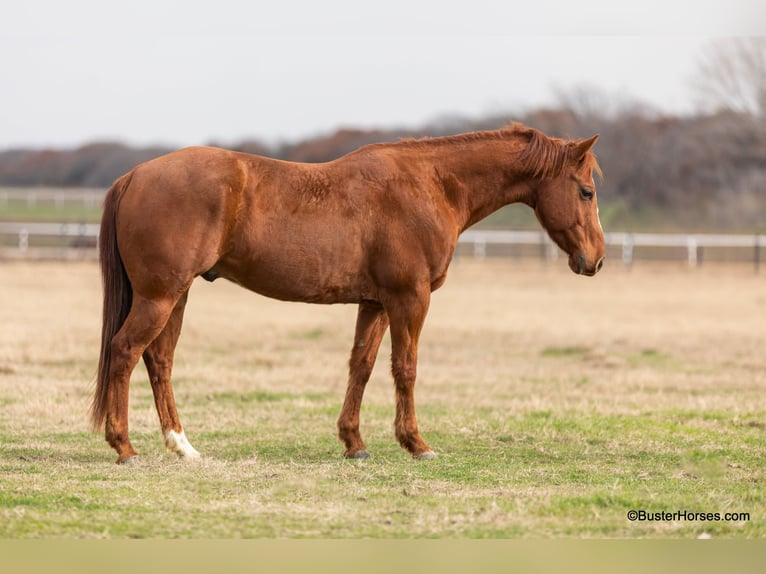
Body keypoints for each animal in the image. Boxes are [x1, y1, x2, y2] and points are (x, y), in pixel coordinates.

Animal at [90, 124, 608, 466]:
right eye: (586, 191)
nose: (597, 260)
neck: (430, 185)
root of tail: (135, 175)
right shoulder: (410, 299)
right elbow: (405, 368)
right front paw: (416, 444)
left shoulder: (375, 303)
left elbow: (362, 365)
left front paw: (354, 443)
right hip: (160, 296)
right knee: (125, 352)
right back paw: (124, 447)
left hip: (175, 296)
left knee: (159, 361)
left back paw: (182, 445)